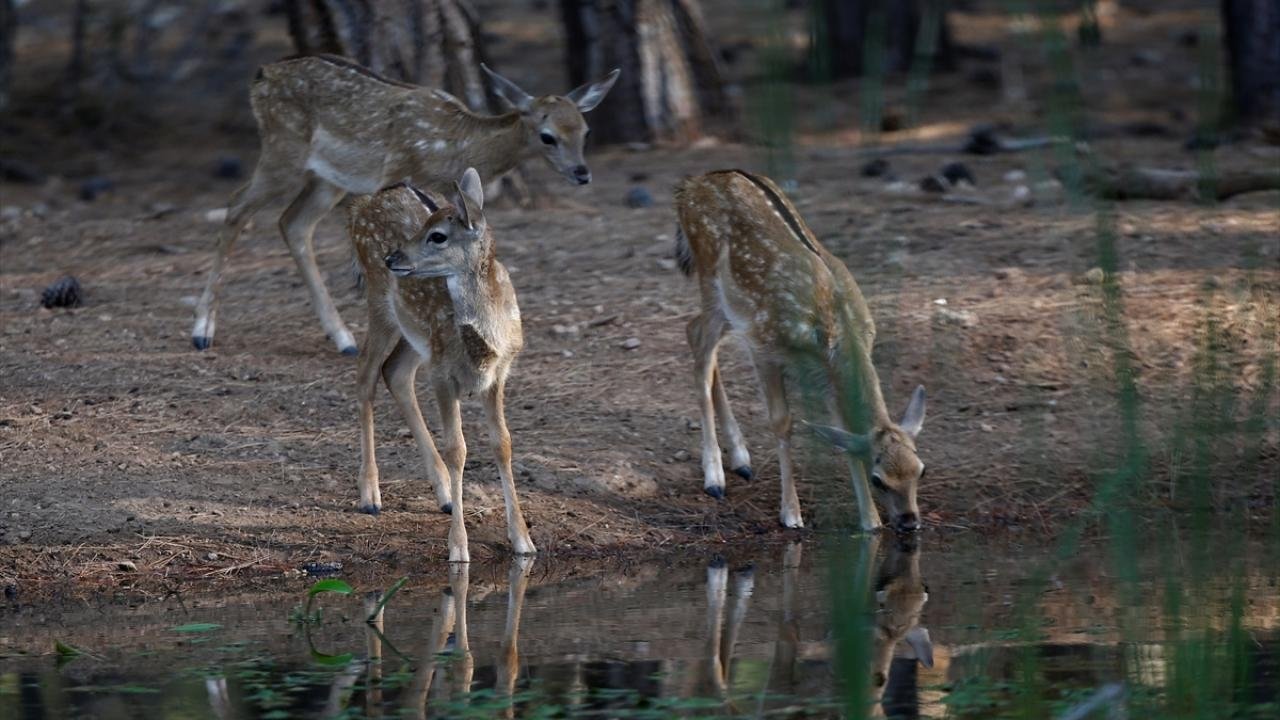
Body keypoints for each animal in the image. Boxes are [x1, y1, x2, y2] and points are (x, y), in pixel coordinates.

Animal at [192, 53, 619, 354]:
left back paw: (342, 337)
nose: (582, 173)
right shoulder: (394, 172)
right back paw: (202, 331)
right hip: (283, 149)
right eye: (548, 136)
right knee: (237, 207)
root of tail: (261, 75)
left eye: (584, 130)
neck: (457, 145)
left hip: (327, 176)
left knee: (292, 223)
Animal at [347, 168, 532, 562]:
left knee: (394, 372)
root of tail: (363, 203)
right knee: (366, 373)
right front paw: (458, 548)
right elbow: (457, 449)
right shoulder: (443, 374)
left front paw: (523, 540)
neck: (484, 344)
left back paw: (444, 494)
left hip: (417, 336)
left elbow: (503, 443)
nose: (393, 257)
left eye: (438, 235)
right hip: (380, 303)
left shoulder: (500, 373)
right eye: (426, 228)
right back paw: (370, 494)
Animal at [673, 169, 928, 532]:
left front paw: (870, 522)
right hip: (709, 277)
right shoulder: (765, 345)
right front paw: (791, 514)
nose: (909, 521)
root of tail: (689, 186)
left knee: (698, 336)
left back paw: (741, 460)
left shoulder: (824, 375)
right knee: (699, 343)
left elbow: (844, 433)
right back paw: (715, 477)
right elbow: (782, 422)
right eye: (879, 479)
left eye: (921, 471)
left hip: (732, 309)